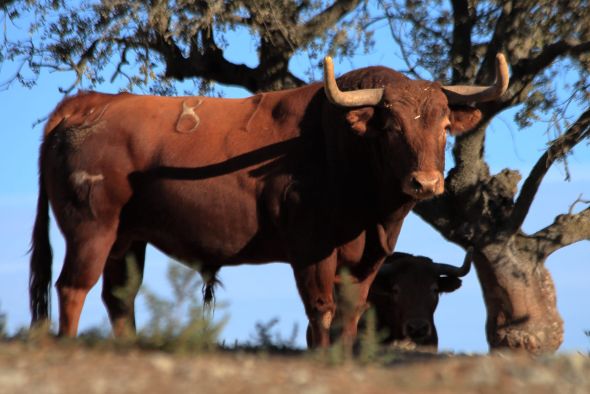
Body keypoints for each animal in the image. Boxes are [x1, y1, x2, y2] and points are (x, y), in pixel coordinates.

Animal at [28, 53, 508, 346]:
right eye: (390, 128)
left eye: (444, 127)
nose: (425, 183)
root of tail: (87, 103)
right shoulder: (311, 249)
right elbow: (322, 312)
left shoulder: (366, 259)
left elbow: (350, 315)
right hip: (91, 227)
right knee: (72, 287)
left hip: (127, 238)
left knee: (119, 297)